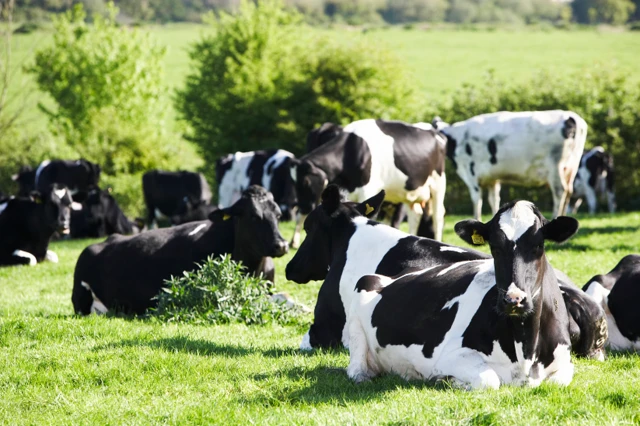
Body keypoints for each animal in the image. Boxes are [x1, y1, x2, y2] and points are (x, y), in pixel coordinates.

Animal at [288, 119, 444, 246]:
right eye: (294, 182)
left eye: (306, 181)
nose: (303, 207)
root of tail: (434, 132)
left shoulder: (368, 191)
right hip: (410, 193)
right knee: (415, 215)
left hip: (438, 183)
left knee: (437, 216)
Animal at [348, 200, 584, 390]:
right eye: (494, 247)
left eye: (538, 245)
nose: (513, 300)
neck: (525, 347)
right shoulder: (452, 356)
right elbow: (489, 380)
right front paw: (446, 380)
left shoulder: (564, 361)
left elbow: (558, 380)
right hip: (362, 291)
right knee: (356, 369)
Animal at [438, 110, 588, 220]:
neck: (457, 139)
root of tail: (572, 118)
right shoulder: (492, 179)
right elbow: (494, 200)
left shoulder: (471, 175)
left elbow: (477, 201)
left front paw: (477, 219)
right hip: (571, 167)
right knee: (569, 191)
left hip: (555, 167)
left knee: (560, 191)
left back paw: (555, 216)